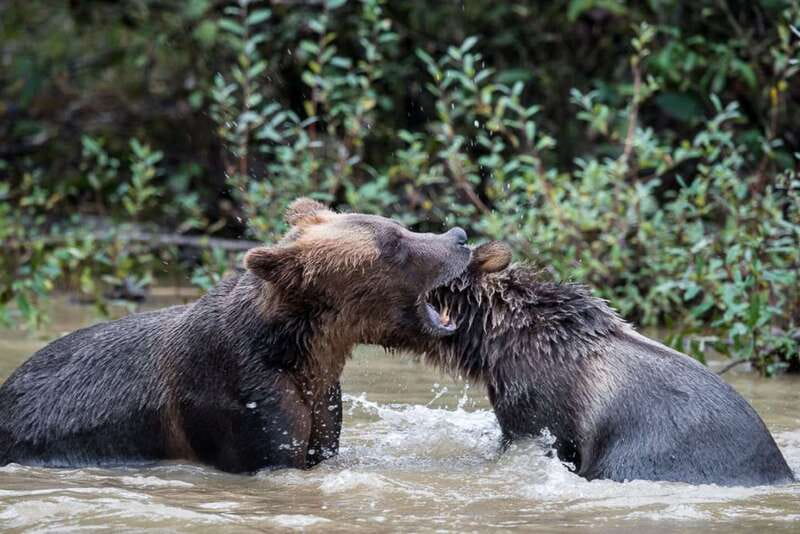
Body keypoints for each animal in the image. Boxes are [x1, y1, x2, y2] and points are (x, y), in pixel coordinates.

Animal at [0, 198, 471, 473]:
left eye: (399, 225)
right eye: (393, 244)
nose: (459, 236)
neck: (301, 351)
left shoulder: (322, 397)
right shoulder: (243, 396)